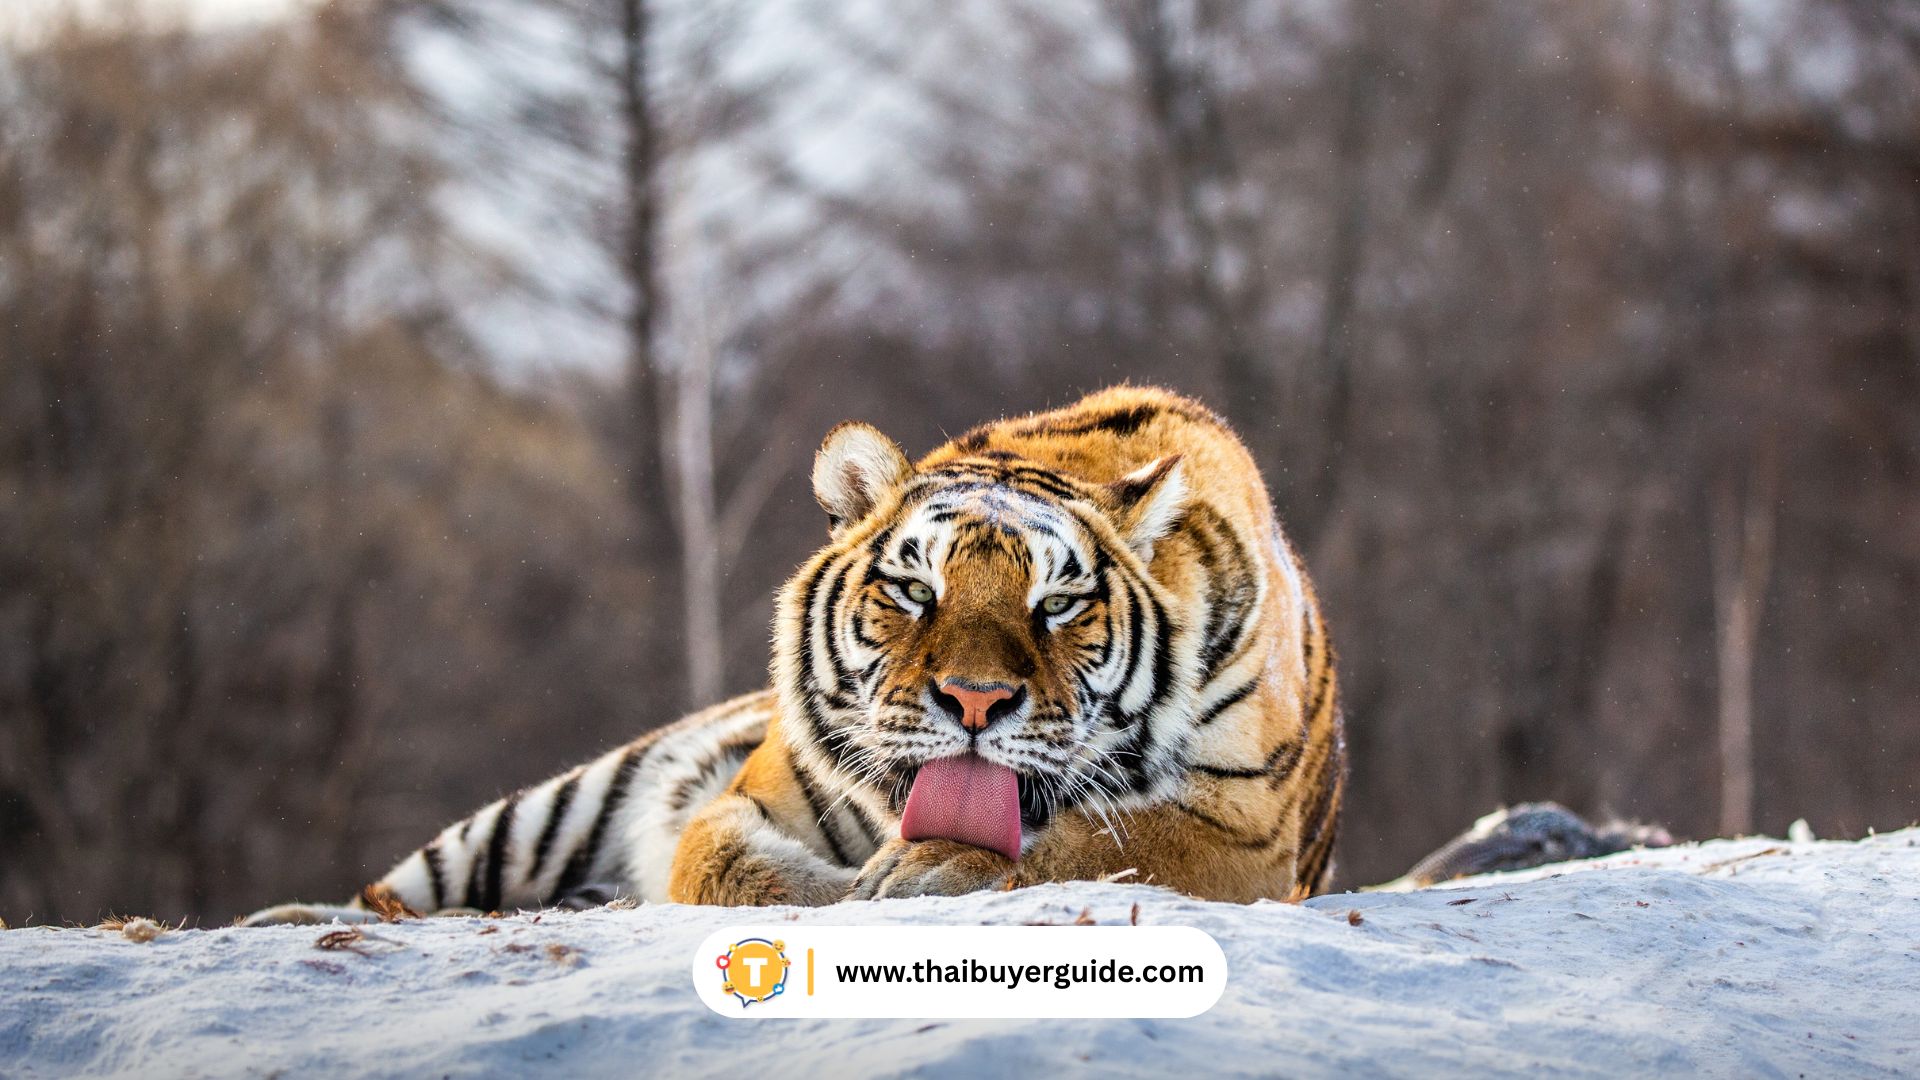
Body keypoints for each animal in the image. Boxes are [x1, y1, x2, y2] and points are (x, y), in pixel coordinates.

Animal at [243, 385, 1345, 924]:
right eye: (916, 590)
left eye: (1059, 604)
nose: (974, 702)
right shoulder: (758, 793)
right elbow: (720, 860)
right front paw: (853, 887)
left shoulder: (1237, 829)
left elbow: (1101, 846)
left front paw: (927, 871)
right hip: (547, 809)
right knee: (394, 894)